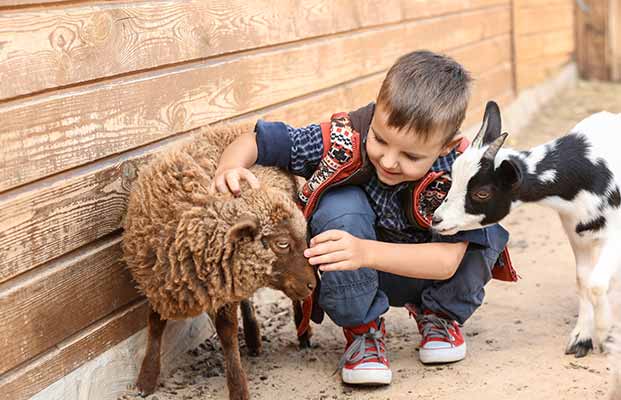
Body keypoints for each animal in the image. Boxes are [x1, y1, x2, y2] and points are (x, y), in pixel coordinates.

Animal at [122, 122, 314, 400]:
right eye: (282, 243)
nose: (313, 284)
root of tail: (239, 125)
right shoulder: (159, 278)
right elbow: (155, 324)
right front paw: (146, 379)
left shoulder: (219, 285)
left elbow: (226, 333)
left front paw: (238, 388)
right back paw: (254, 338)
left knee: (292, 299)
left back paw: (302, 332)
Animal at [432, 101, 620, 358]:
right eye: (451, 180)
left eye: (482, 193)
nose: (437, 219)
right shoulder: (577, 234)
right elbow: (583, 279)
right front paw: (582, 337)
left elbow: (597, 283)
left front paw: (605, 334)